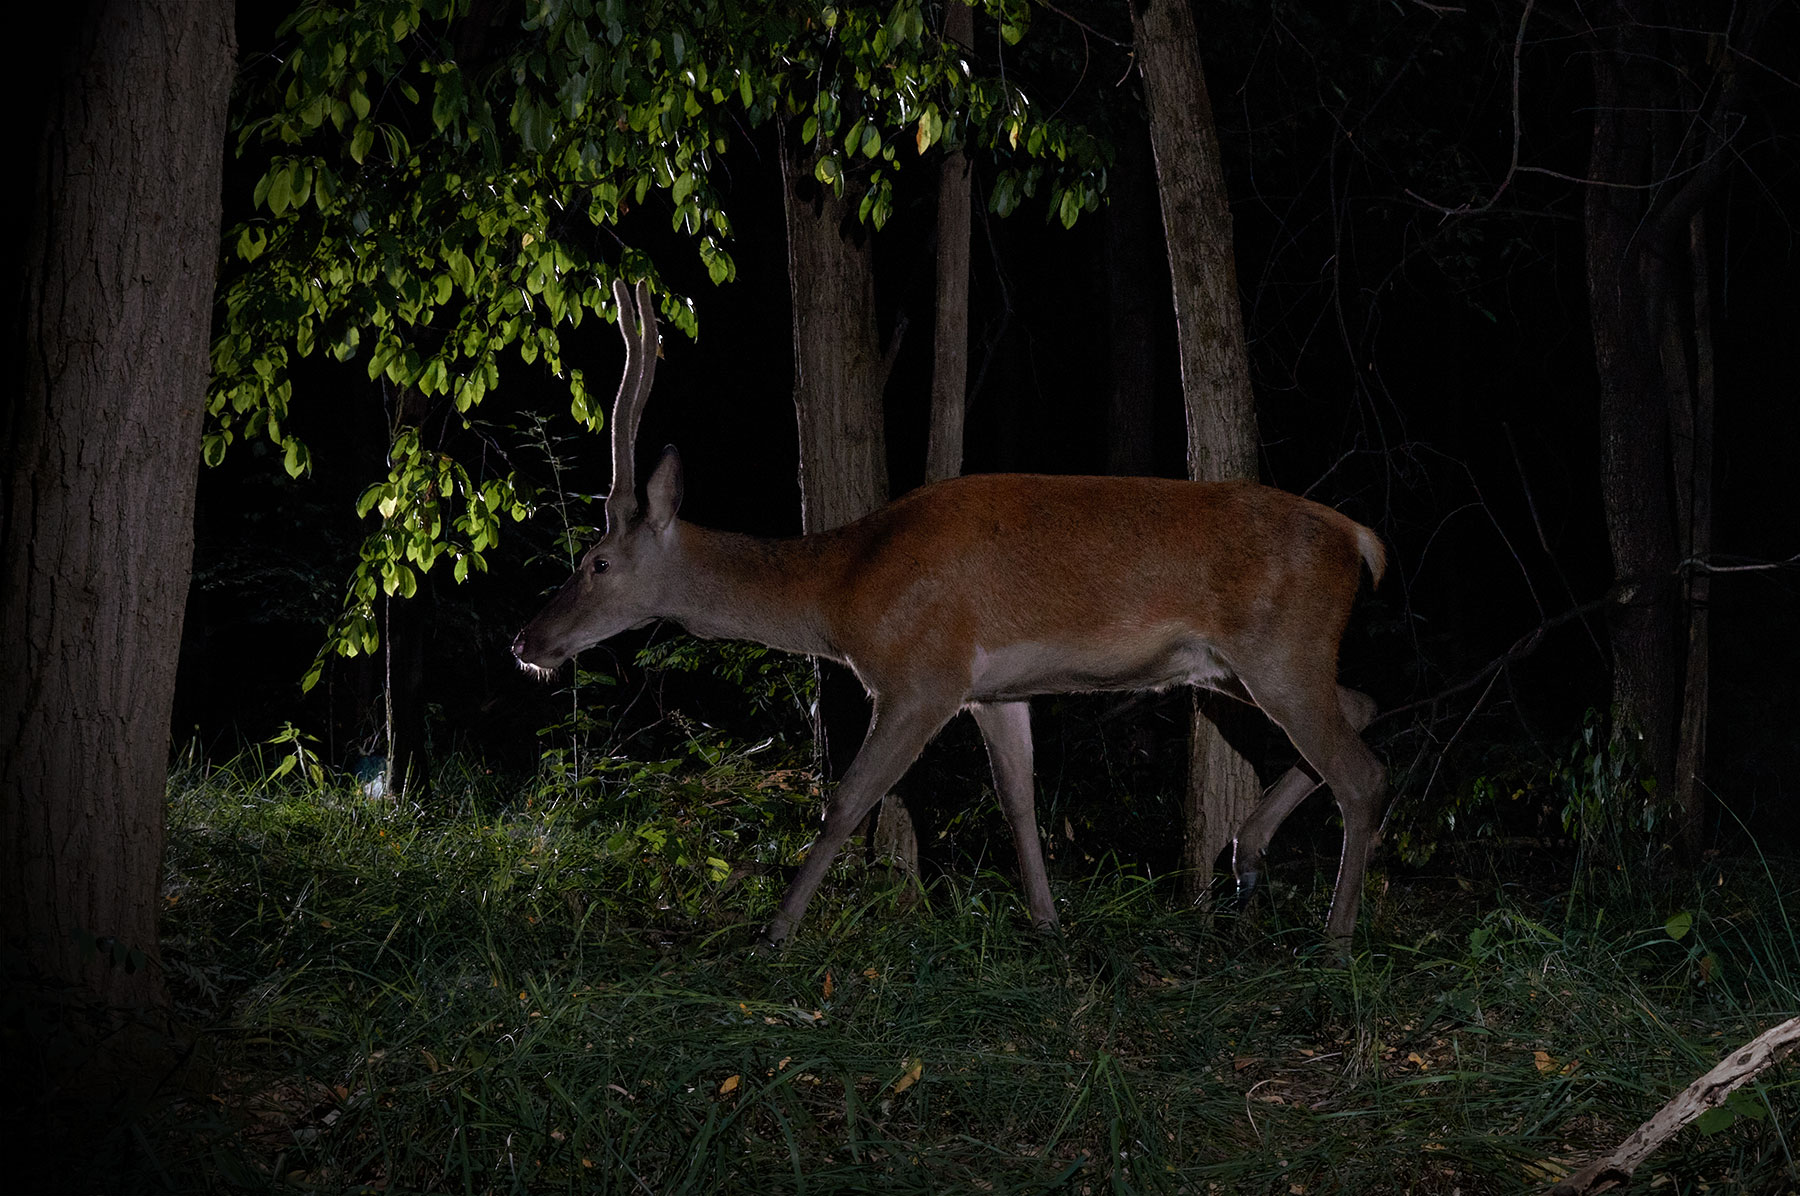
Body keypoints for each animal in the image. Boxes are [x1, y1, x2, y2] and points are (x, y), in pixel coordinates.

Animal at [513, 280, 1388, 947]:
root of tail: (1362, 540)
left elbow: (846, 803)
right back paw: (1248, 853)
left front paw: (775, 932)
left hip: (1278, 649)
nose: (526, 640)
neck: (842, 590)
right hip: (1237, 663)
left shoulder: (920, 674)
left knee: (1362, 772)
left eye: (596, 562)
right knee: (1363, 705)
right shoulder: (991, 691)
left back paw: (1336, 936)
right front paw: (1048, 926)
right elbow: (1019, 805)